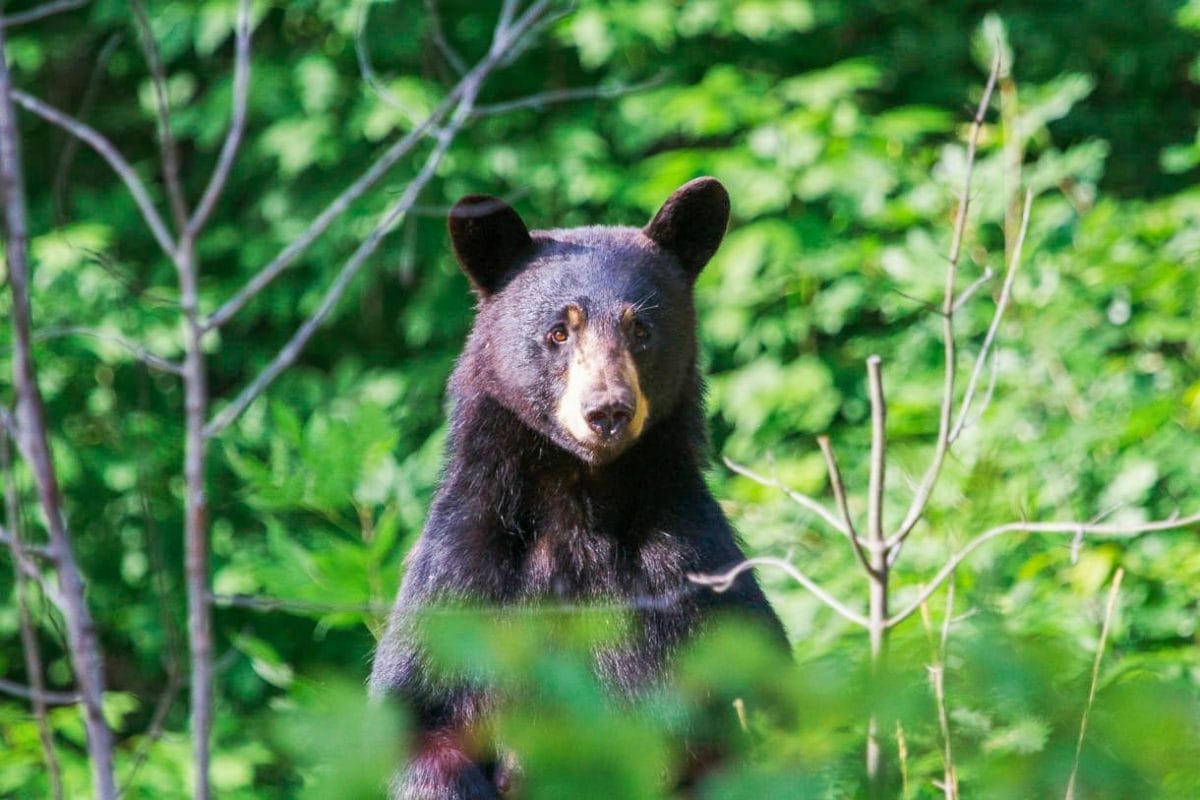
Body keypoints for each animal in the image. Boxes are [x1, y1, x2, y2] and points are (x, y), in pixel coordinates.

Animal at [369, 177, 787, 799]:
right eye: (559, 332)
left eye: (641, 328)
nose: (607, 411)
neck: (580, 504)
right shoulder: (464, 574)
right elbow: (420, 716)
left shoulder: (693, 577)